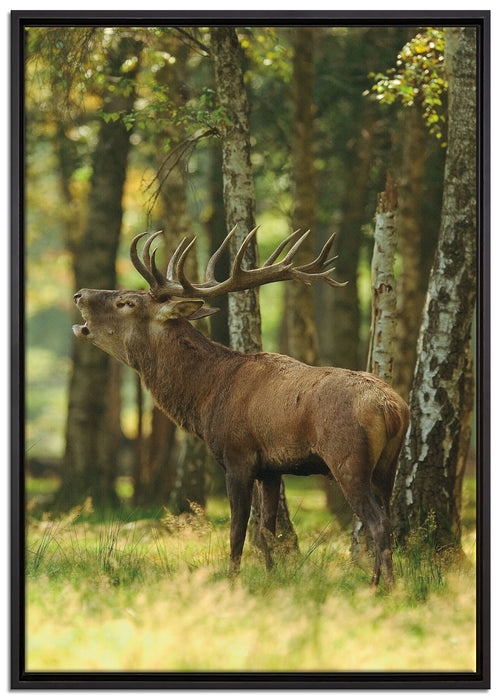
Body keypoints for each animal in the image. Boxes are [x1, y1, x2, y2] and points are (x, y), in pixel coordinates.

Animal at [73, 228, 410, 589]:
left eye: (127, 302)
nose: (79, 294)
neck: (207, 397)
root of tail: (392, 408)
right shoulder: (272, 469)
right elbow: (266, 532)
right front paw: (273, 578)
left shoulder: (237, 456)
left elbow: (237, 532)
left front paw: (232, 582)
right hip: (387, 464)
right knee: (387, 517)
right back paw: (376, 582)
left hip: (348, 459)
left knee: (377, 521)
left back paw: (385, 588)